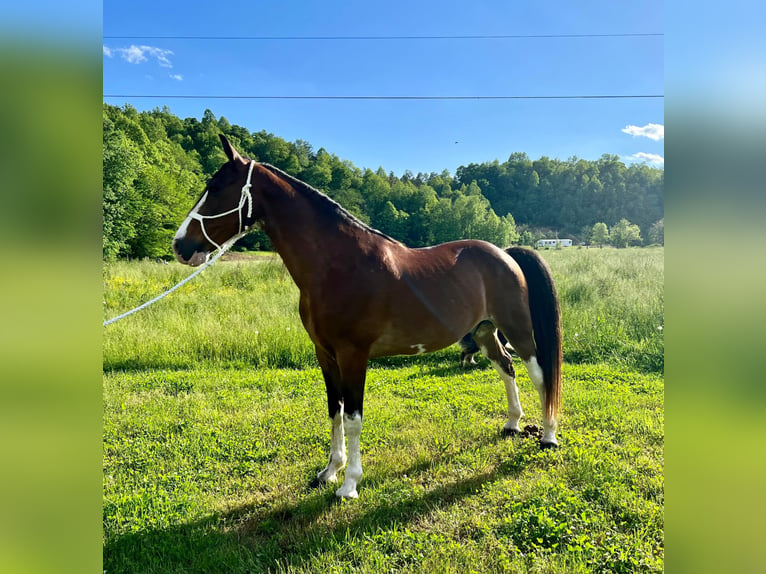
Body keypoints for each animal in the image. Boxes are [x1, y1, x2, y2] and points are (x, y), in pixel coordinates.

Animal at [174, 135, 564, 500]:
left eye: (215, 188)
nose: (180, 246)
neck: (338, 266)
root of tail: (505, 253)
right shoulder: (325, 354)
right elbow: (334, 411)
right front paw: (330, 471)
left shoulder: (353, 355)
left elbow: (353, 418)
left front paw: (349, 484)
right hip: (484, 331)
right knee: (506, 368)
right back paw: (513, 424)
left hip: (517, 328)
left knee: (538, 373)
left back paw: (548, 435)